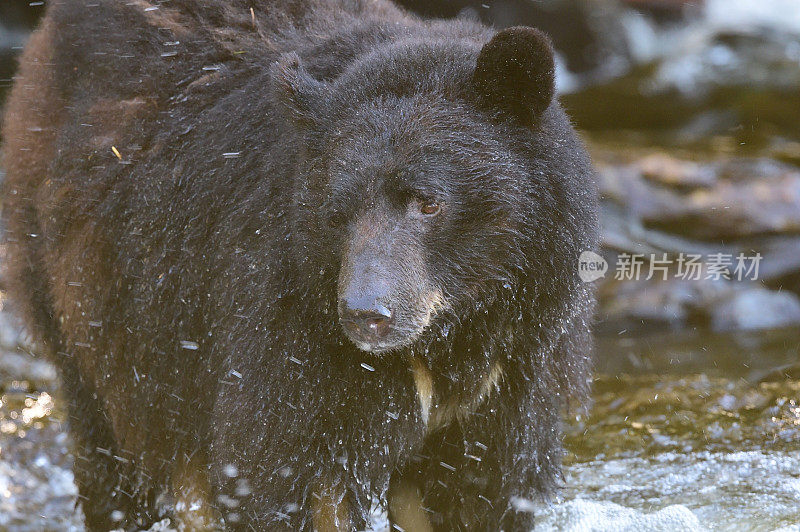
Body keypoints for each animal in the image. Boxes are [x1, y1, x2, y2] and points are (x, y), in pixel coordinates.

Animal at [1, 2, 592, 528]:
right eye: (338, 209)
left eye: (427, 202)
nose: (365, 314)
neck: (453, 334)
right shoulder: (289, 326)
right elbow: (279, 466)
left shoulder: (513, 373)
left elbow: (485, 487)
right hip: (101, 309)